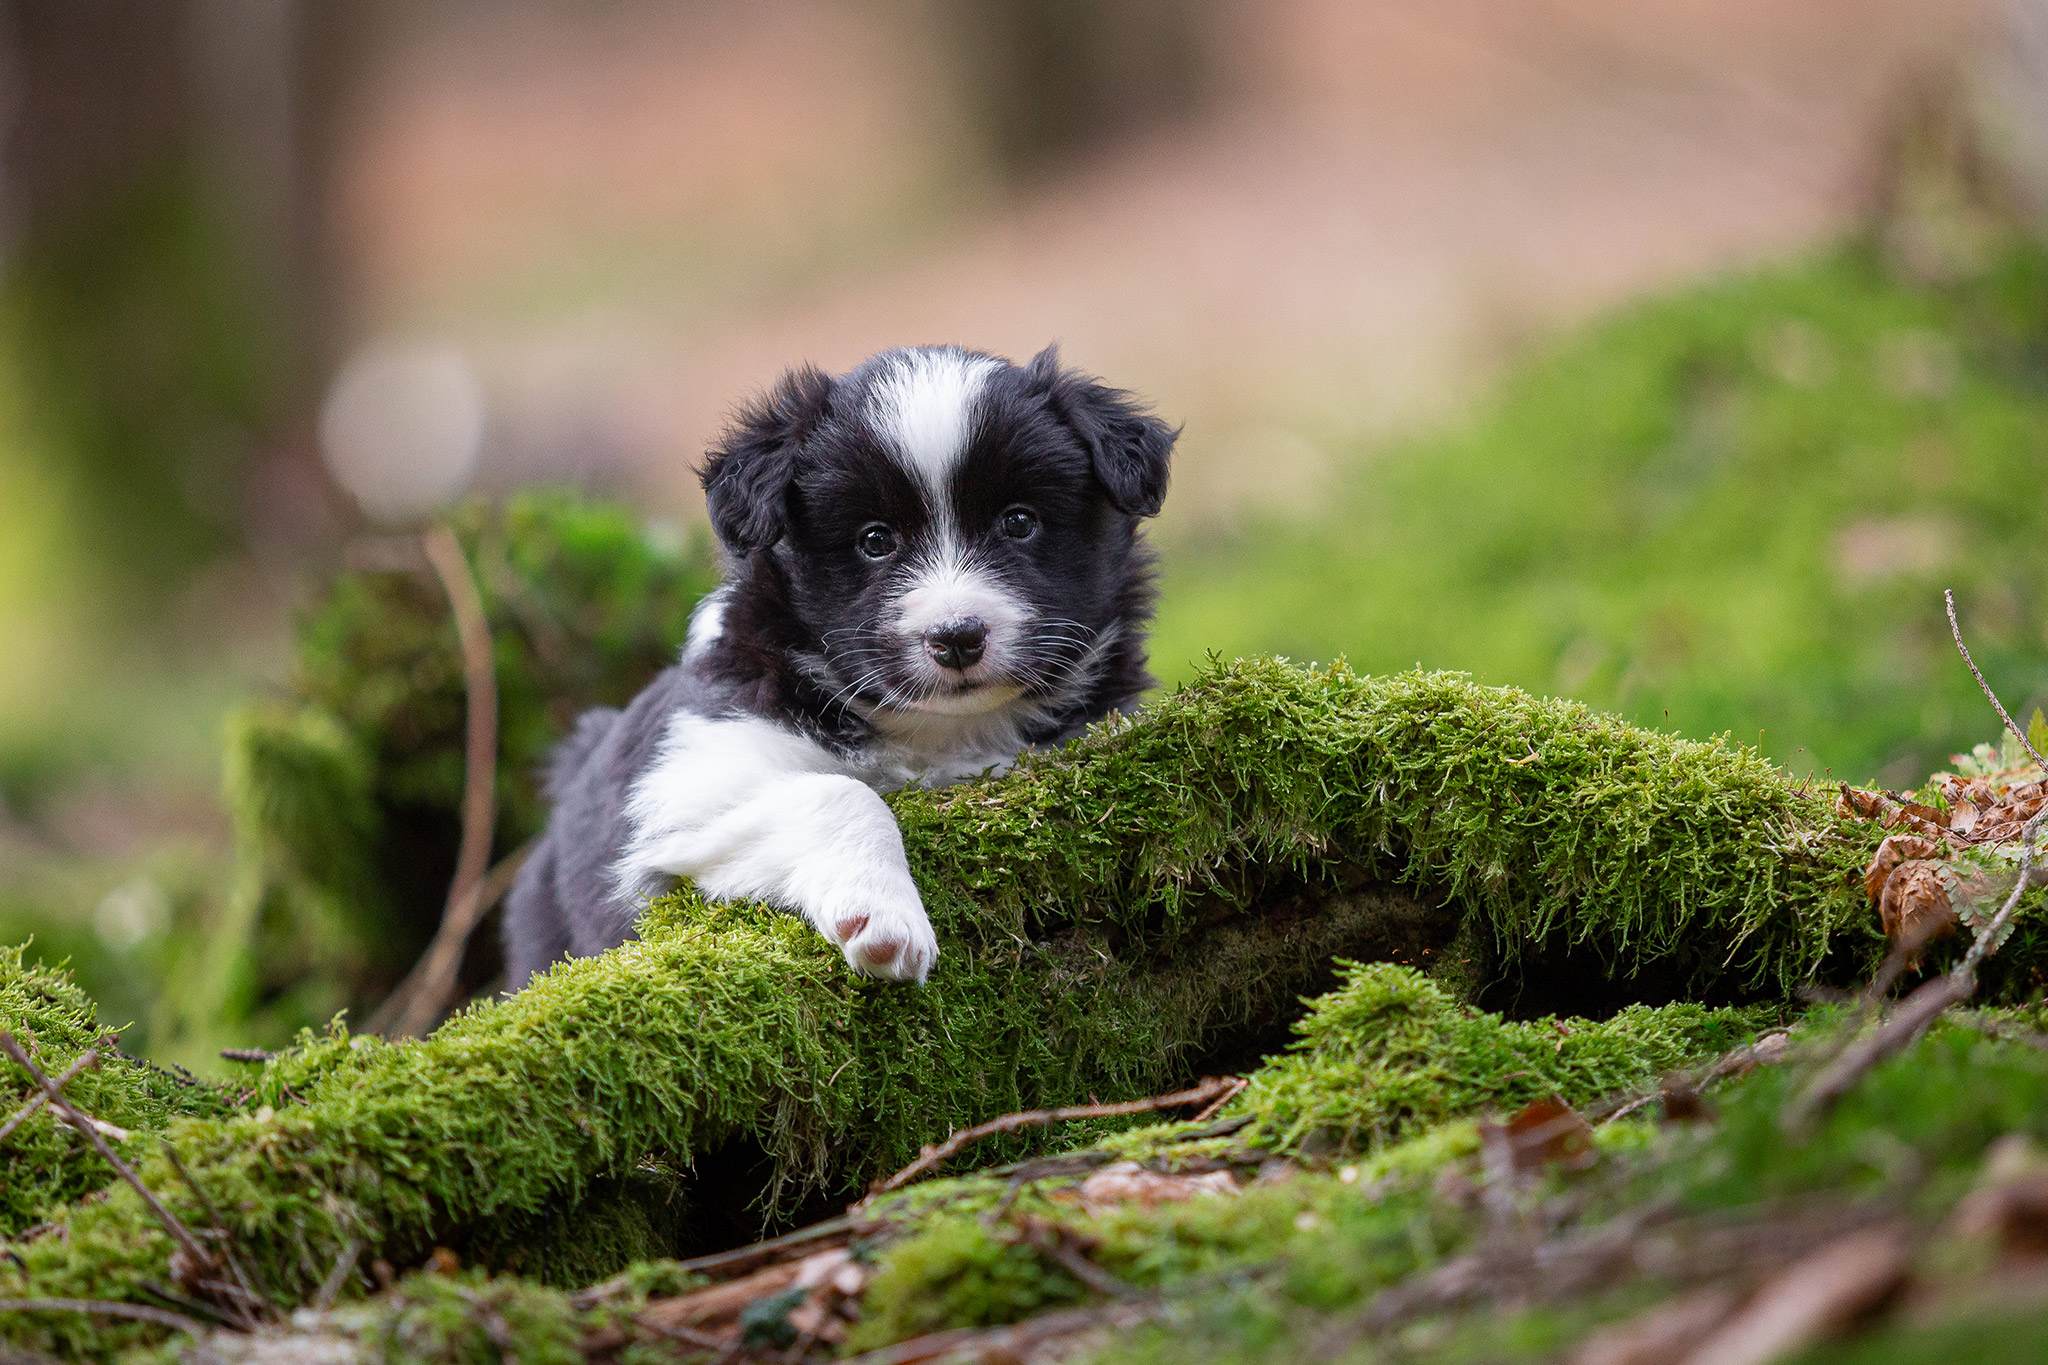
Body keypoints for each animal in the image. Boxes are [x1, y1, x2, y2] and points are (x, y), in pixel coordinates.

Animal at [501, 347, 1179, 986]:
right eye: (874, 540)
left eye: (1019, 522)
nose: (956, 638)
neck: (941, 732)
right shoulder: (680, 785)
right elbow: (838, 790)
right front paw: (883, 920)